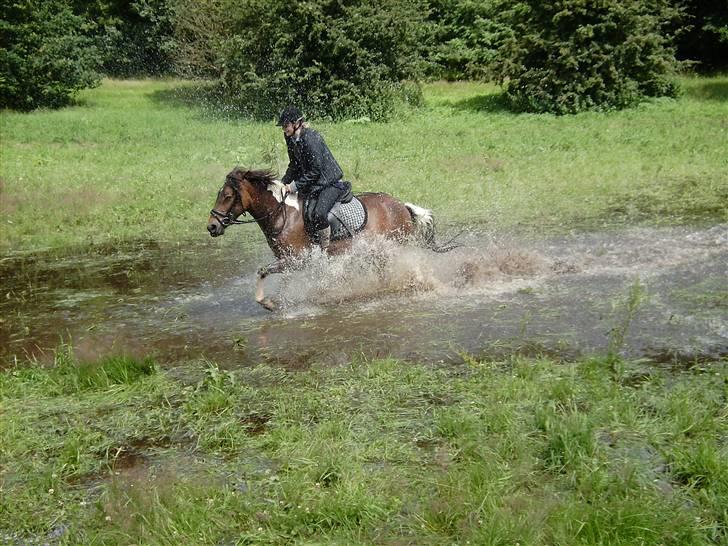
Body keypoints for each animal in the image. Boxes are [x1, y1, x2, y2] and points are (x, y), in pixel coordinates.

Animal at [206, 166, 444, 308]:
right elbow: (272, 275)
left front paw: (270, 303)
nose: (211, 226)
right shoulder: (287, 260)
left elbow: (265, 271)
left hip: (395, 246)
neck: (282, 214)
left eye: (228, 196)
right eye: (219, 194)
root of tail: (402, 206)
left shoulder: (297, 260)